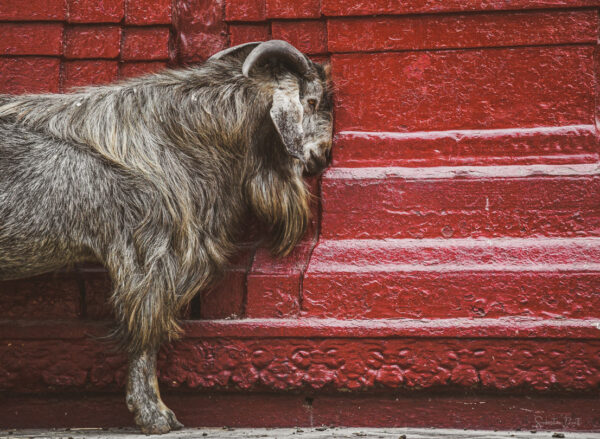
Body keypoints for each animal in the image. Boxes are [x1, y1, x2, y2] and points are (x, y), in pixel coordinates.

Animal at [0, 40, 332, 434]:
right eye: (311, 101)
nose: (323, 156)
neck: (170, 134)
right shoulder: (151, 255)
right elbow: (146, 333)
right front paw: (155, 415)